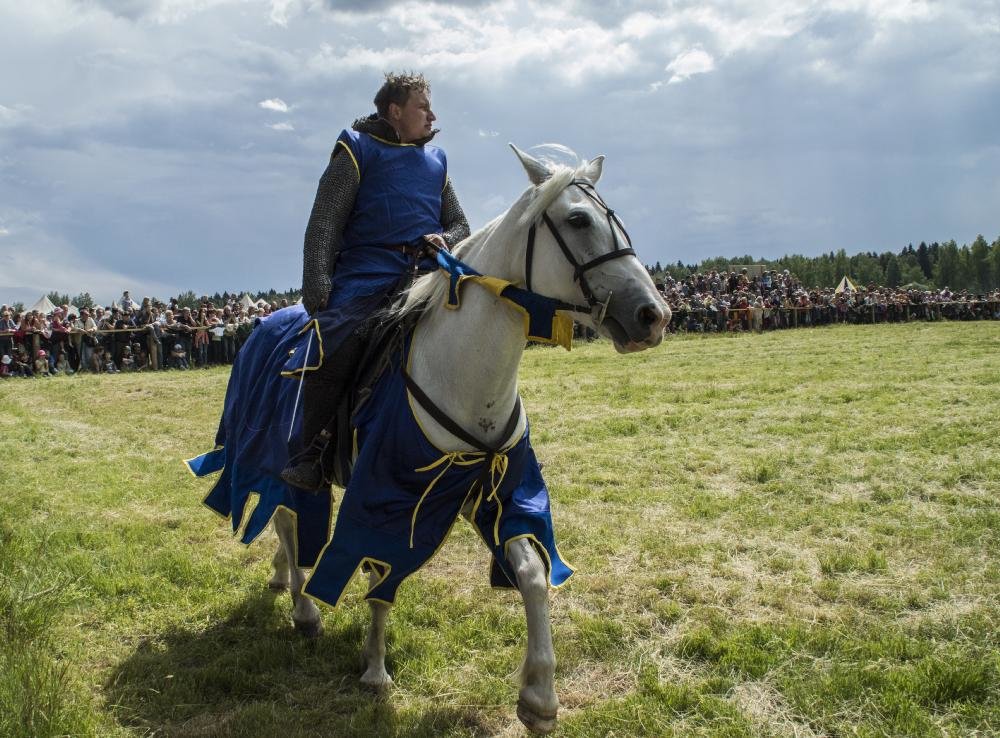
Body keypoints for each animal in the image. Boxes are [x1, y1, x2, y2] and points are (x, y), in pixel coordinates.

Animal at [268, 145, 672, 732]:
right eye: (578, 220)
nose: (653, 315)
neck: (464, 368)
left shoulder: (494, 489)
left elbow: (532, 574)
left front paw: (539, 697)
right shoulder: (390, 495)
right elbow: (381, 581)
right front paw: (375, 668)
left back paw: (285, 582)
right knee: (288, 521)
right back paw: (303, 608)